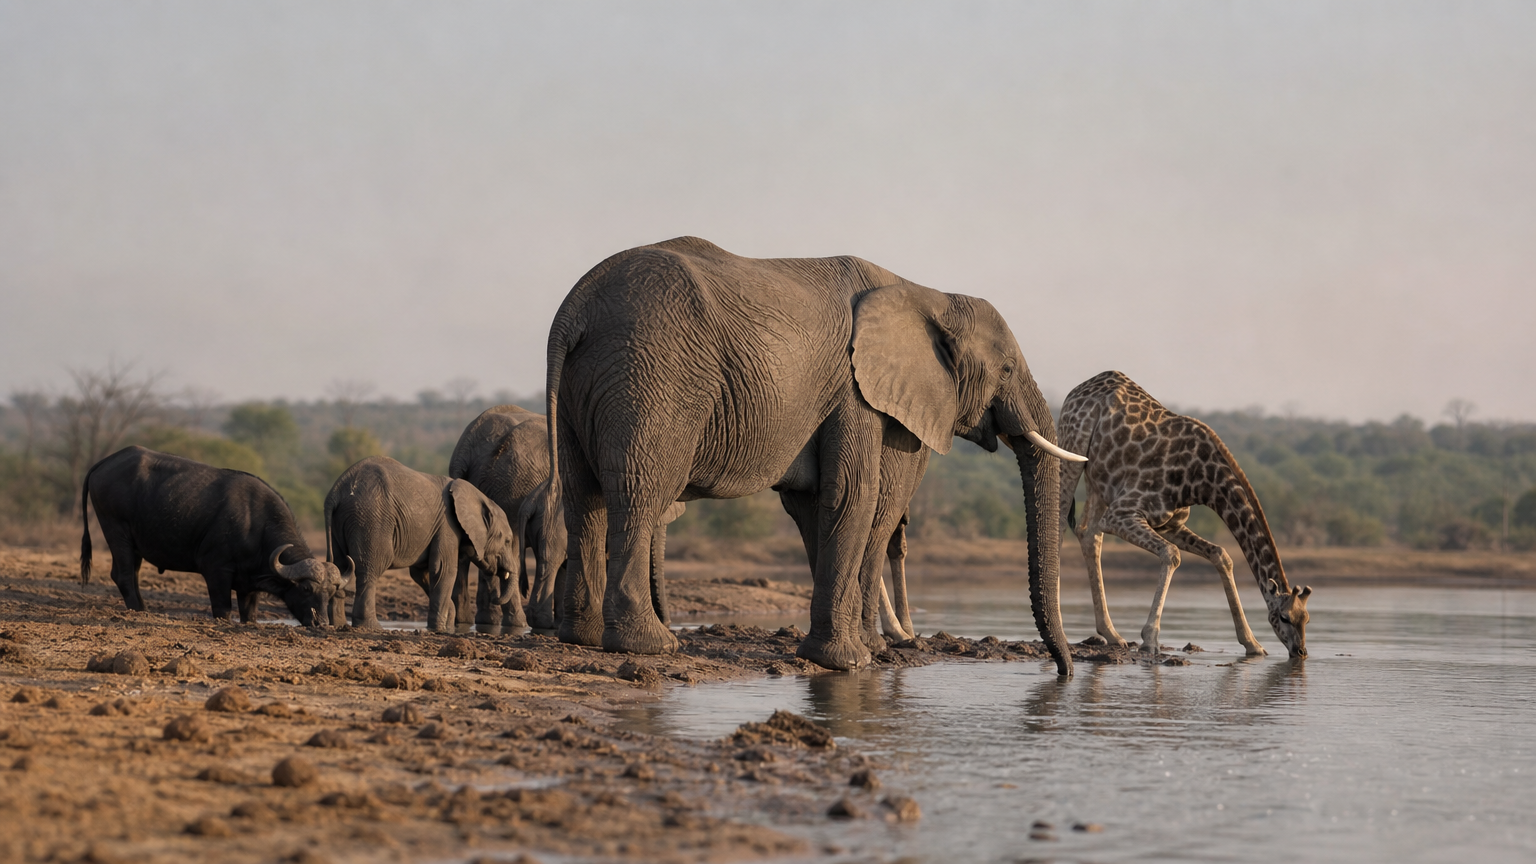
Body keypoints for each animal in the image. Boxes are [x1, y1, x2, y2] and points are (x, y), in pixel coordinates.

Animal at [81, 446, 348, 626]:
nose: (322, 624)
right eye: (306, 589)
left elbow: (249, 612)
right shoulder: (216, 571)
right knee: (123, 575)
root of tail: (107, 461)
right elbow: (222, 608)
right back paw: (138, 610)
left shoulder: (249, 584)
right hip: (117, 533)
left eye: (331, 593)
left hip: (134, 543)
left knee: (133, 575)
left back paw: (143, 608)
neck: (257, 527)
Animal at [325, 456, 521, 633]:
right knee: (370, 568)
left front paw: (448, 622)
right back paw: (372, 627)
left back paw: (338, 625)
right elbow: (444, 570)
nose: (495, 596)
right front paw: (440, 630)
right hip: (370, 520)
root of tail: (336, 490)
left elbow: (421, 573)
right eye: (507, 541)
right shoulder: (448, 525)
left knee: (340, 566)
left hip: (342, 522)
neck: (480, 497)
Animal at [544, 236, 1086, 673]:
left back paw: (583, 638)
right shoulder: (854, 389)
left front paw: (864, 653)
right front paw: (848, 662)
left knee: (584, 499)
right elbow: (852, 495)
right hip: (652, 376)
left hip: (591, 384)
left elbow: (814, 505)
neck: (924, 293)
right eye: (1008, 368)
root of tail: (573, 309)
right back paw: (650, 647)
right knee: (640, 493)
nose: (1063, 672)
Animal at [1057, 371, 1311, 657]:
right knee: (1059, 523)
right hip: (1071, 449)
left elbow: (1221, 555)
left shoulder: (1171, 525)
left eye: (1306, 618)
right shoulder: (1121, 514)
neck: (1201, 482)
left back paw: (1111, 634)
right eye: (1284, 617)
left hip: (1098, 479)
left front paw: (1253, 643)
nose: (1301, 652)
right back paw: (1061, 629)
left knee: (1088, 534)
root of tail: (1081, 387)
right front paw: (1150, 639)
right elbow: (1172, 554)